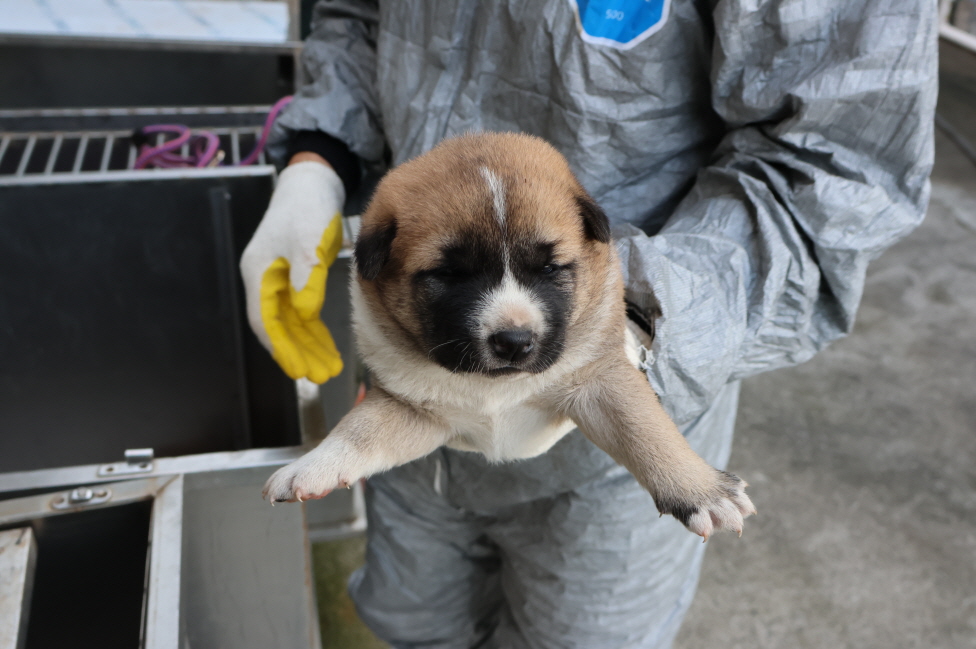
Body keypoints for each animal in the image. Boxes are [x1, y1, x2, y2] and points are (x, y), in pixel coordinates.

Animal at [262, 130, 756, 536]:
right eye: (449, 274)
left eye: (550, 269)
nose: (515, 342)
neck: (494, 389)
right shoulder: (412, 409)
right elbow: (361, 428)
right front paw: (314, 464)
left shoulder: (600, 379)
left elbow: (644, 428)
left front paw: (700, 490)